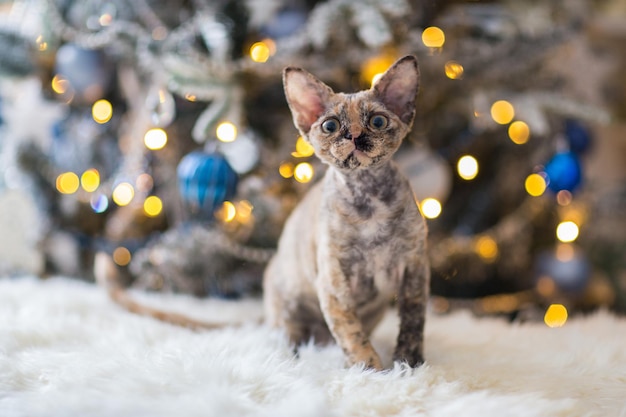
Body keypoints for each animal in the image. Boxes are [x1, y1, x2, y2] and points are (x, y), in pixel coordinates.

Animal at [94, 54, 428, 368]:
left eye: (378, 122)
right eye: (330, 126)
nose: (355, 136)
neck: (369, 201)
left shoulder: (413, 272)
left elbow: (413, 323)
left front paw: (408, 364)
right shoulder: (335, 282)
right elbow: (350, 331)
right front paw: (368, 367)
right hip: (287, 300)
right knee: (290, 336)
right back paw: (296, 357)